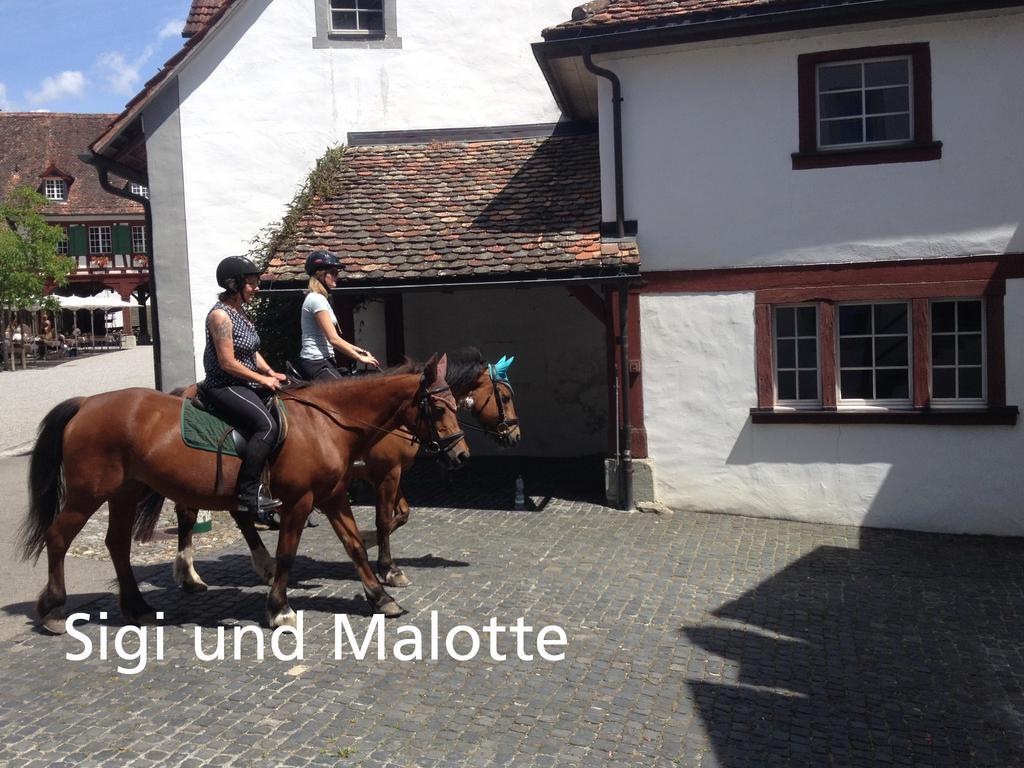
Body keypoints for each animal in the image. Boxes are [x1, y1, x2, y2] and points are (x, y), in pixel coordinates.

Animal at [20, 354, 468, 630]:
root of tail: (86, 404)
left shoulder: (333, 495)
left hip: (126, 491)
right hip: (88, 493)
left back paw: (138, 606)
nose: (461, 454)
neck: (326, 423)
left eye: (457, 404)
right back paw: (55, 609)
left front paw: (380, 598)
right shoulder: (303, 500)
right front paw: (279, 608)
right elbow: (289, 552)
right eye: (438, 408)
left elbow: (355, 545)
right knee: (58, 537)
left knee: (118, 543)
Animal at [174, 348, 520, 593]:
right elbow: (385, 520)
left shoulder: (391, 473)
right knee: (192, 514)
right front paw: (387, 566)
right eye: (504, 396)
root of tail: (187, 391)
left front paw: (368, 544)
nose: (515, 436)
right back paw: (191, 573)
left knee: (233, 514)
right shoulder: (387, 474)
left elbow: (401, 514)